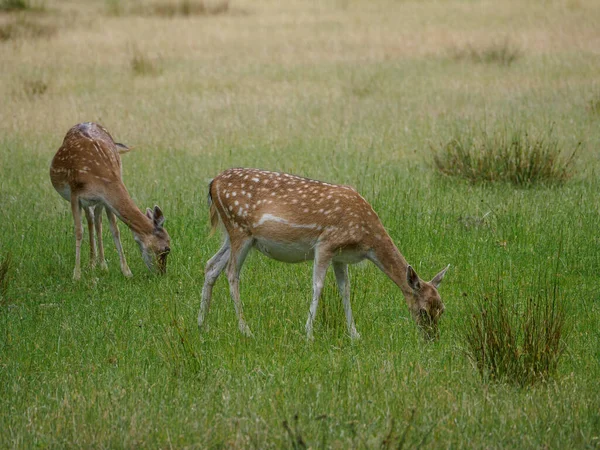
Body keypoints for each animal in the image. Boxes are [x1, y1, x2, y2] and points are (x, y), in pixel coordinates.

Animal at [49, 121, 171, 280]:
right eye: (166, 249)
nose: (161, 273)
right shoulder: (75, 194)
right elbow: (78, 231)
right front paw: (76, 275)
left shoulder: (105, 199)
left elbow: (115, 230)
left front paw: (127, 271)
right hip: (85, 200)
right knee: (90, 219)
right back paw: (92, 264)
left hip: (98, 202)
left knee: (96, 221)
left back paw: (100, 264)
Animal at [199, 167, 448, 340]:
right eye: (423, 311)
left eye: (442, 309)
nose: (432, 339)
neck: (366, 240)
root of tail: (212, 183)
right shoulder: (326, 244)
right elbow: (318, 286)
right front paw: (308, 333)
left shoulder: (340, 256)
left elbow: (345, 290)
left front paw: (355, 334)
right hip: (239, 229)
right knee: (232, 273)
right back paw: (246, 330)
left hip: (233, 235)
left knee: (211, 265)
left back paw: (202, 325)